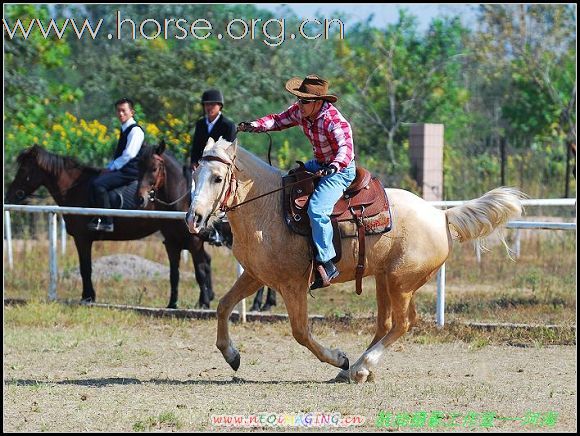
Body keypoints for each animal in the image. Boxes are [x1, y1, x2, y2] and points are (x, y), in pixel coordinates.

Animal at [5, 145, 213, 308]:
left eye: (24, 170)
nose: (11, 195)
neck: (75, 187)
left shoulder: (82, 238)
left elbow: (85, 268)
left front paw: (88, 297)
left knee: (202, 263)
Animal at [139, 143, 278, 314]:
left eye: (153, 168)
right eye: (138, 166)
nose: (141, 198)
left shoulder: (195, 243)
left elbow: (200, 272)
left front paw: (204, 302)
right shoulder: (171, 244)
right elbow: (175, 274)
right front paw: (172, 304)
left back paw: (258, 304)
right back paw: (267, 303)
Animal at [187, 138, 524, 384]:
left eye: (217, 178)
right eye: (194, 173)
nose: (194, 219)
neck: (268, 207)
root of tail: (441, 215)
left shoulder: (293, 284)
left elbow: (300, 331)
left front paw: (338, 358)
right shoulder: (256, 275)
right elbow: (223, 306)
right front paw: (232, 356)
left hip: (401, 282)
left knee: (403, 323)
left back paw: (359, 367)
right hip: (385, 280)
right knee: (387, 323)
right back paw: (358, 369)